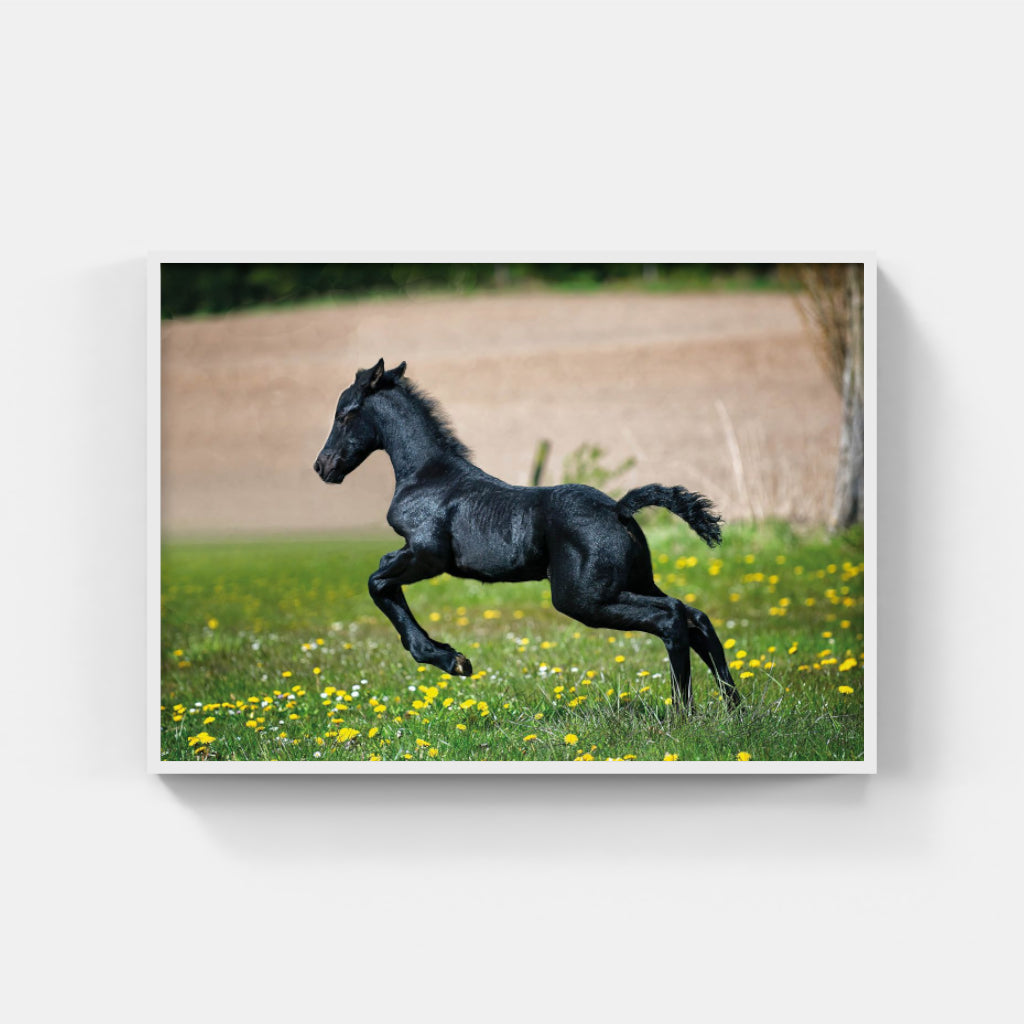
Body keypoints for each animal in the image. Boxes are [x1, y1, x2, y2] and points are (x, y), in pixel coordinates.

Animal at [314, 359, 740, 713]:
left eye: (344, 415)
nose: (322, 466)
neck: (428, 476)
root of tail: (619, 509)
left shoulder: (427, 555)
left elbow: (377, 581)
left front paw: (451, 660)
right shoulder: (414, 554)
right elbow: (384, 577)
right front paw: (449, 656)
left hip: (584, 598)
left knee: (671, 616)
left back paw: (682, 711)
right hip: (632, 582)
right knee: (695, 616)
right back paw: (734, 707)